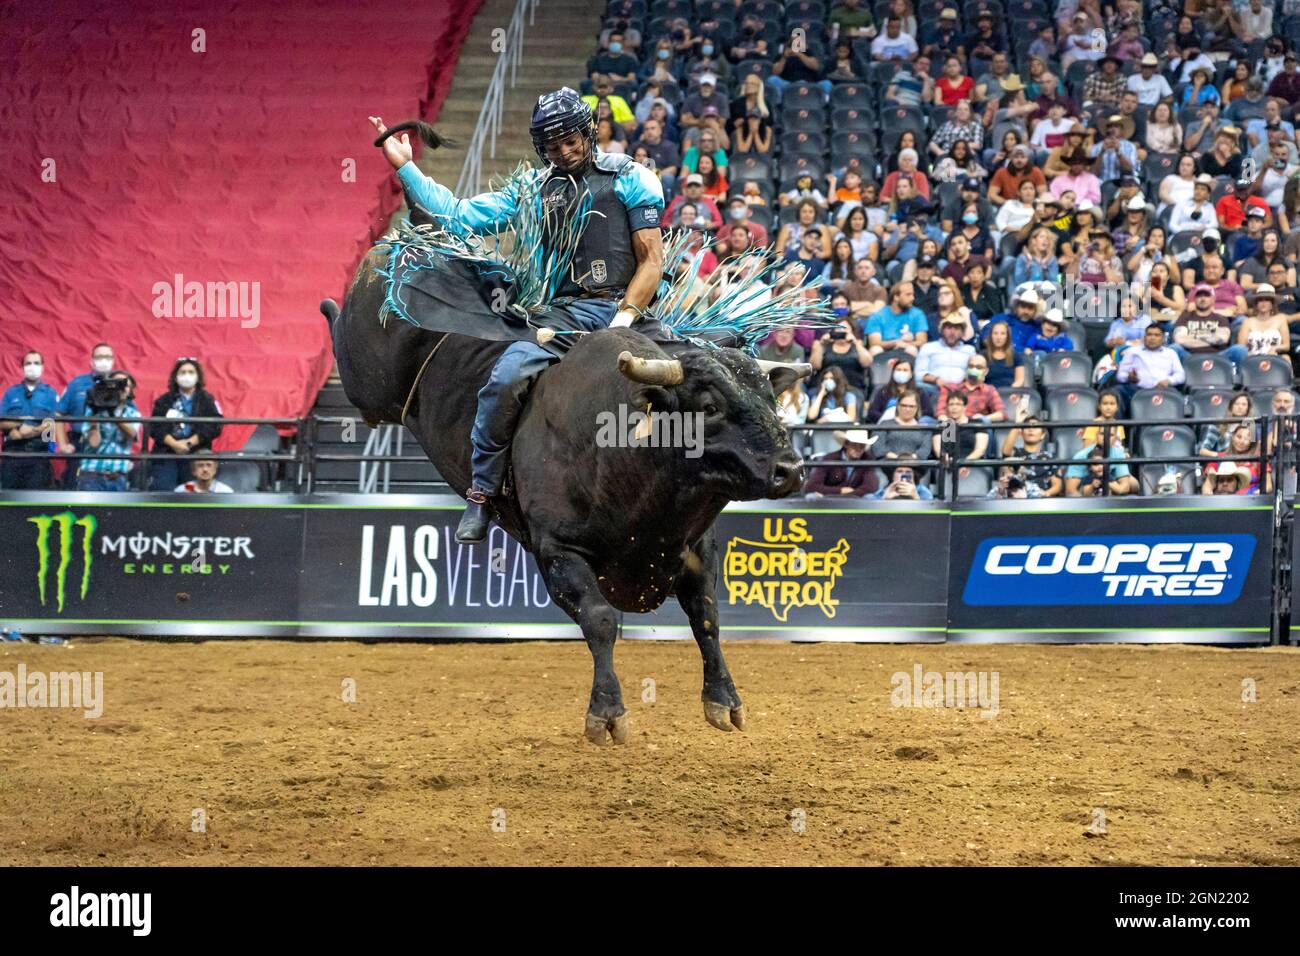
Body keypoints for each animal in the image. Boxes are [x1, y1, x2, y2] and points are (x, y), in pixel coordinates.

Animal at [322, 247, 811, 749]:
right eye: (710, 406)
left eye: (772, 398)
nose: (789, 470)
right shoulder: (557, 550)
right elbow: (599, 618)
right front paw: (607, 713)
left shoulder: (696, 547)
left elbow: (707, 615)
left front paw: (724, 700)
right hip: (366, 381)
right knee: (345, 348)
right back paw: (330, 305)